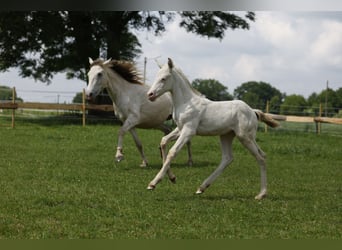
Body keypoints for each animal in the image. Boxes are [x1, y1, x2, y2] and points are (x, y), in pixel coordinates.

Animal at [146, 58, 280, 199]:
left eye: (164, 78)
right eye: (157, 76)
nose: (150, 95)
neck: (186, 103)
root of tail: (253, 111)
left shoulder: (189, 130)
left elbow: (173, 152)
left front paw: (153, 183)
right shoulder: (180, 129)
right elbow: (163, 142)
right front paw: (172, 178)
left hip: (245, 137)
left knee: (260, 158)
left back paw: (261, 194)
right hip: (227, 136)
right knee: (229, 158)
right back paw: (202, 187)